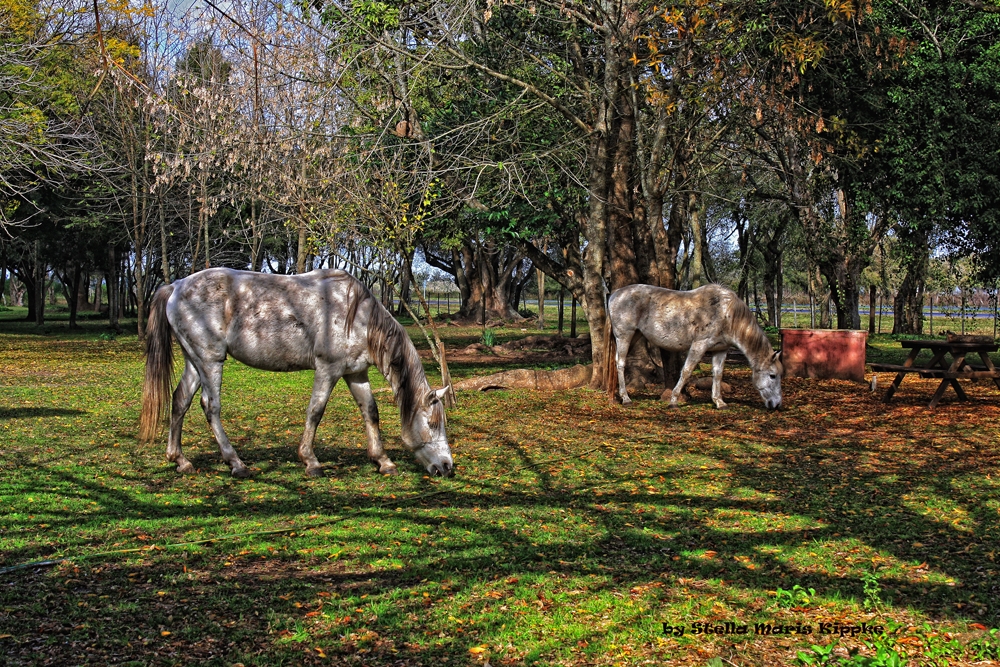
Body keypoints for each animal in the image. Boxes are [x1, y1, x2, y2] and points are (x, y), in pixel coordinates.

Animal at [139, 268, 456, 478]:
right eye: (432, 424)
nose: (447, 467)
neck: (357, 316)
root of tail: (175, 286)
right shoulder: (328, 369)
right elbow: (316, 411)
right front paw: (310, 461)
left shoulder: (355, 372)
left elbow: (370, 411)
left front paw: (383, 461)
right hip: (210, 361)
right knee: (210, 406)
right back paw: (236, 464)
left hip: (194, 360)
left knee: (180, 401)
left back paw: (180, 460)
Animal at [600, 284, 780, 410]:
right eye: (773, 375)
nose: (777, 405)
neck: (725, 312)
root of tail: (615, 294)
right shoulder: (699, 345)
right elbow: (686, 372)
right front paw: (673, 401)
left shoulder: (720, 350)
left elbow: (718, 375)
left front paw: (719, 402)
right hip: (624, 336)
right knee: (620, 363)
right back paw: (626, 398)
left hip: (634, 335)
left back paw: (614, 396)